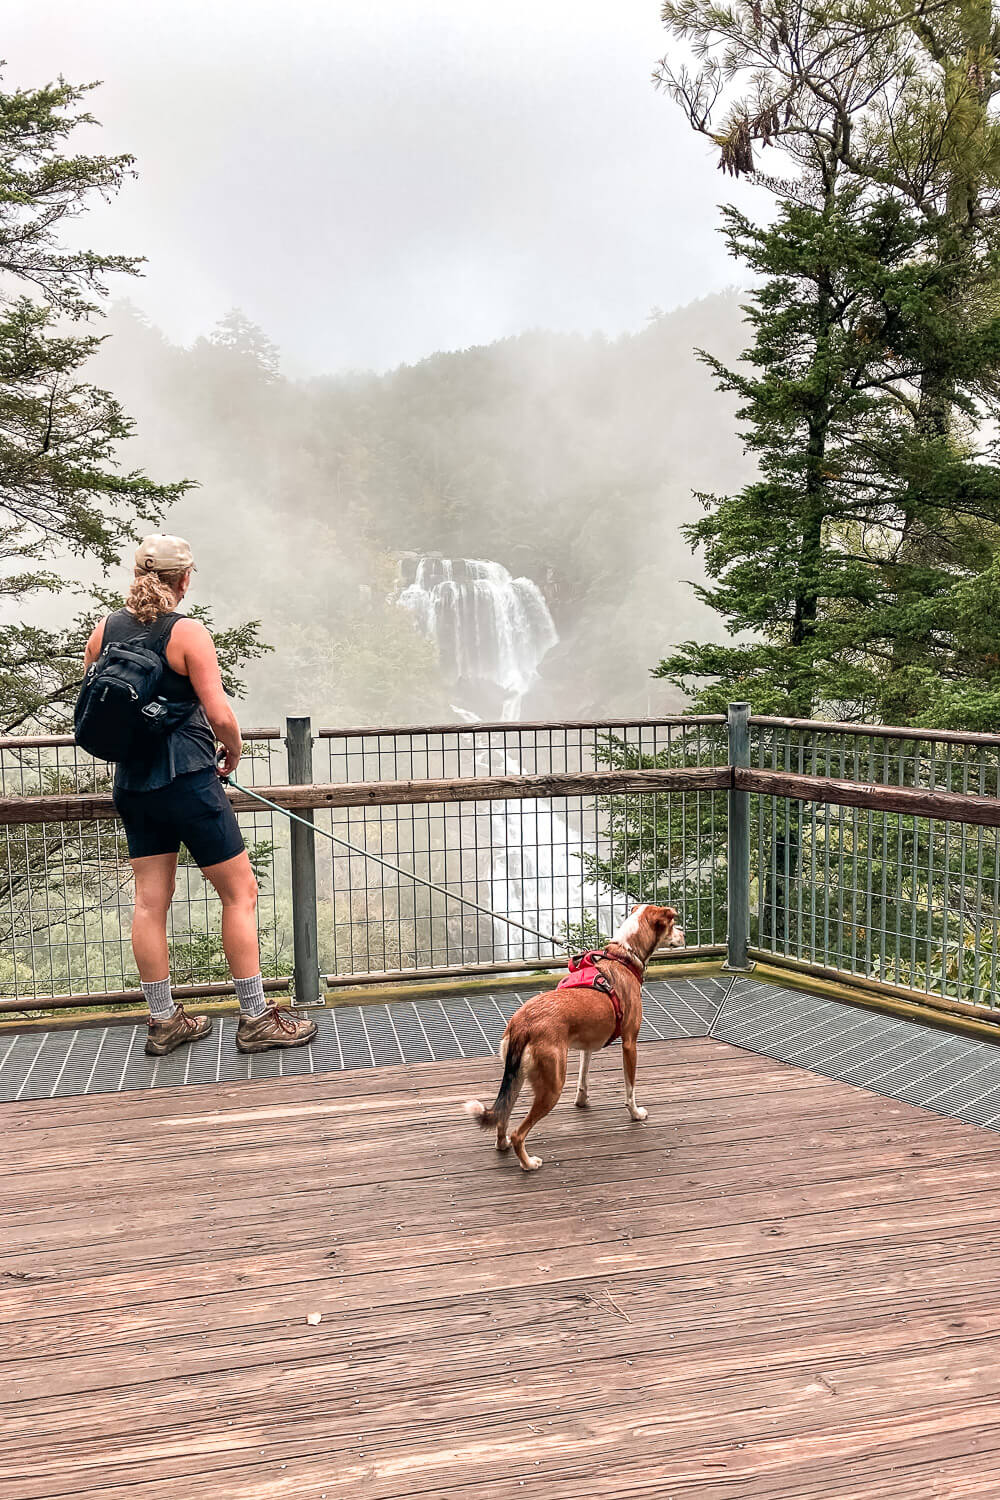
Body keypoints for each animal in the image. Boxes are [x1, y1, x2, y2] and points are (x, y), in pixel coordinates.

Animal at [464, 900, 683, 1170]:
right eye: (672, 924)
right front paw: (635, 1114)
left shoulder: (586, 1046)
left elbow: (583, 1078)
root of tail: (523, 1024)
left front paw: (582, 1102)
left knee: (503, 1116)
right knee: (518, 1132)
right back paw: (528, 1163)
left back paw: (502, 1144)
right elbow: (630, 1088)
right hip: (552, 1085)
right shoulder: (630, 1044)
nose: (684, 934)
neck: (622, 956)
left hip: (517, 1076)